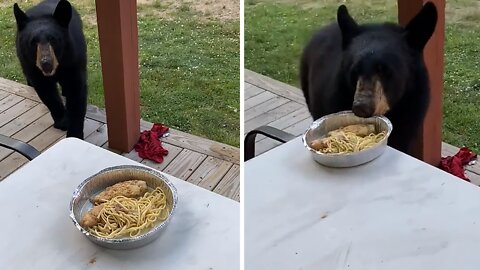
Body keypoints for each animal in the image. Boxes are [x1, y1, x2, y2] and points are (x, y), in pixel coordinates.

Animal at [13, 0, 87, 139]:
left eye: (53, 39)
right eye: (33, 42)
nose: (46, 63)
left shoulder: (73, 61)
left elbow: (76, 93)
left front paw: (75, 134)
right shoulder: (32, 66)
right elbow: (47, 93)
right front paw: (62, 122)